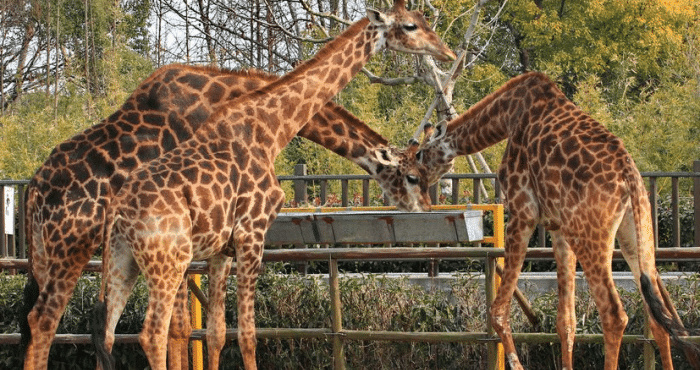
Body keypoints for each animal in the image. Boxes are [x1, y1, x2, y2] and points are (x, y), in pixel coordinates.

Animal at [90, 2, 454, 368]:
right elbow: (248, 336)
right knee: (152, 334)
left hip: (123, 262)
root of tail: (118, 214)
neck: (272, 128)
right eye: (410, 26)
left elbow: (216, 334)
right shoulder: (252, 233)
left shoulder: (221, 250)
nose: (447, 52)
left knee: (106, 335)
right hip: (168, 261)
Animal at [416, 71, 700, 368]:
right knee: (658, 318)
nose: (416, 179)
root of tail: (629, 178)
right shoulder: (559, 230)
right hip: (636, 235)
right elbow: (566, 321)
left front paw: (517, 363)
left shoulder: (522, 213)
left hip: (591, 237)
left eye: (420, 153)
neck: (506, 115)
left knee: (614, 315)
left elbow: (498, 311)